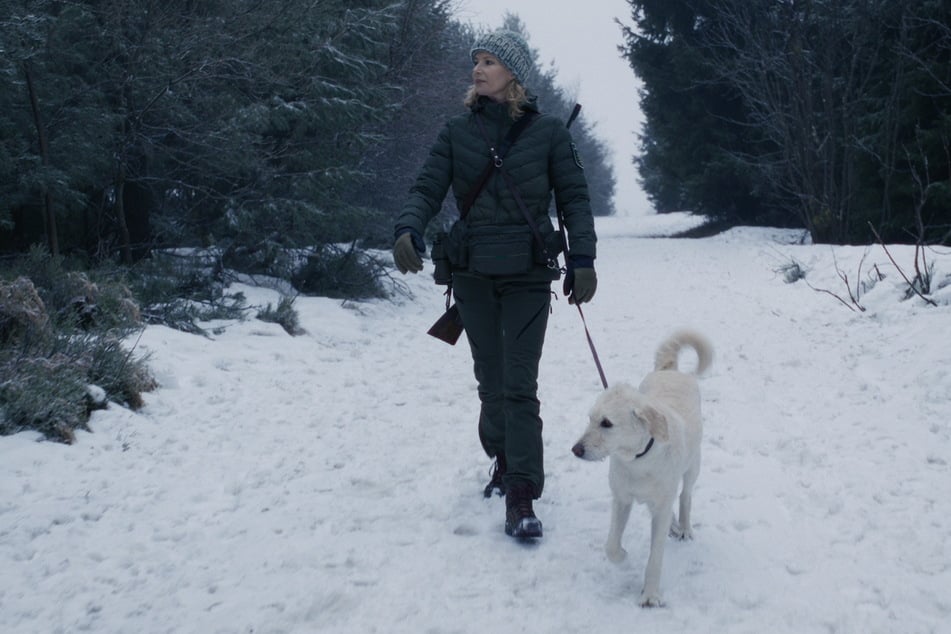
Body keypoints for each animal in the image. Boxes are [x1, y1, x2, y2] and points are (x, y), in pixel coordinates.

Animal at [572, 328, 712, 604]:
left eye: (606, 423)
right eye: (590, 419)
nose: (576, 450)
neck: (638, 461)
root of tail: (670, 369)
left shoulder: (660, 506)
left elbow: (655, 557)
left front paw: (650, 595)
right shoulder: (621, 499)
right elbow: (611, 545)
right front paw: (623, 558)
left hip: (693, 465)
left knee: (685, 496)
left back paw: (684, 527)